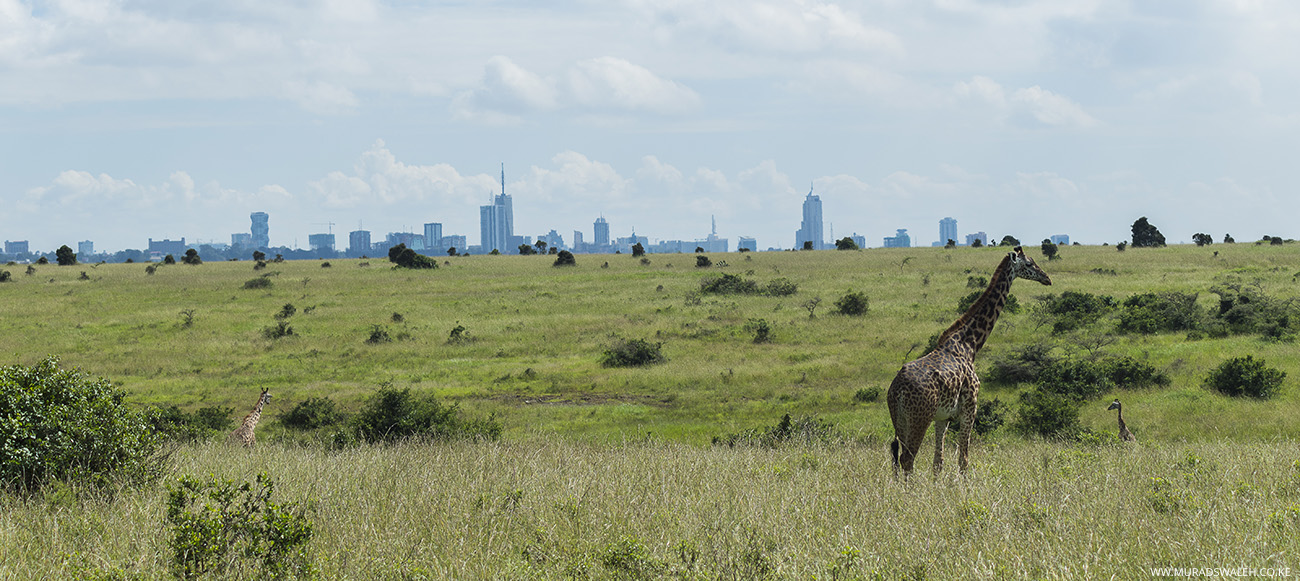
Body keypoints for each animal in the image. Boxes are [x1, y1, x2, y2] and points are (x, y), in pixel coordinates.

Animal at [889, 246, 1050, 478]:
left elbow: (938, 462)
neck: (970, 344)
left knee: (898, 458)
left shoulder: (942, 417)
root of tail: (897, 390)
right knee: (907, 459)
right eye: (1029, 264)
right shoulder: (970, 406)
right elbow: (963, 459)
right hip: (919, 417)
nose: (1047, 278)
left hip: (900, 419)